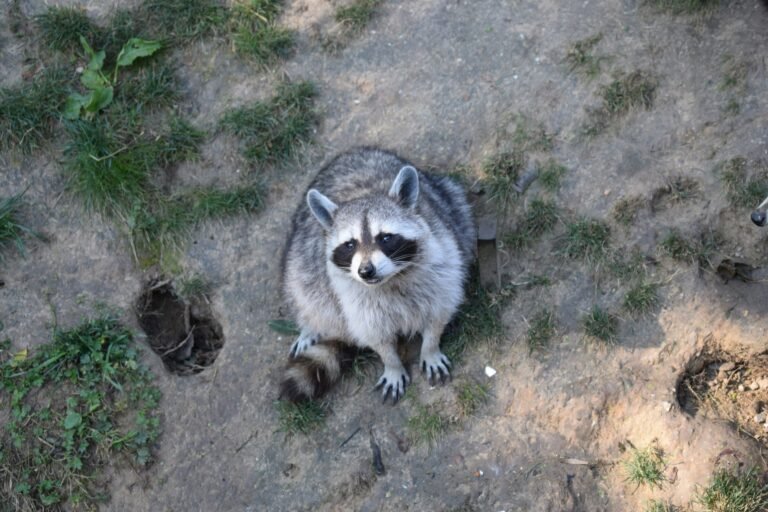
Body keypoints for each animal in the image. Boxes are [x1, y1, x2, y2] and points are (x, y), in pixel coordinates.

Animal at [280, 148, 475, 403]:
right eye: (350, 244)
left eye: (385, 238)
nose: (366, 271)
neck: (390, 280)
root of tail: (349, 152)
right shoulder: (353, 297)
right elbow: (374, 334)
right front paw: (391, 363)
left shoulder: (442, 260)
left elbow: (438, 311)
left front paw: (430, 347)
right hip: (299, 256)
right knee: (304, 290)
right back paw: (310, 326)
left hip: (453, 202)